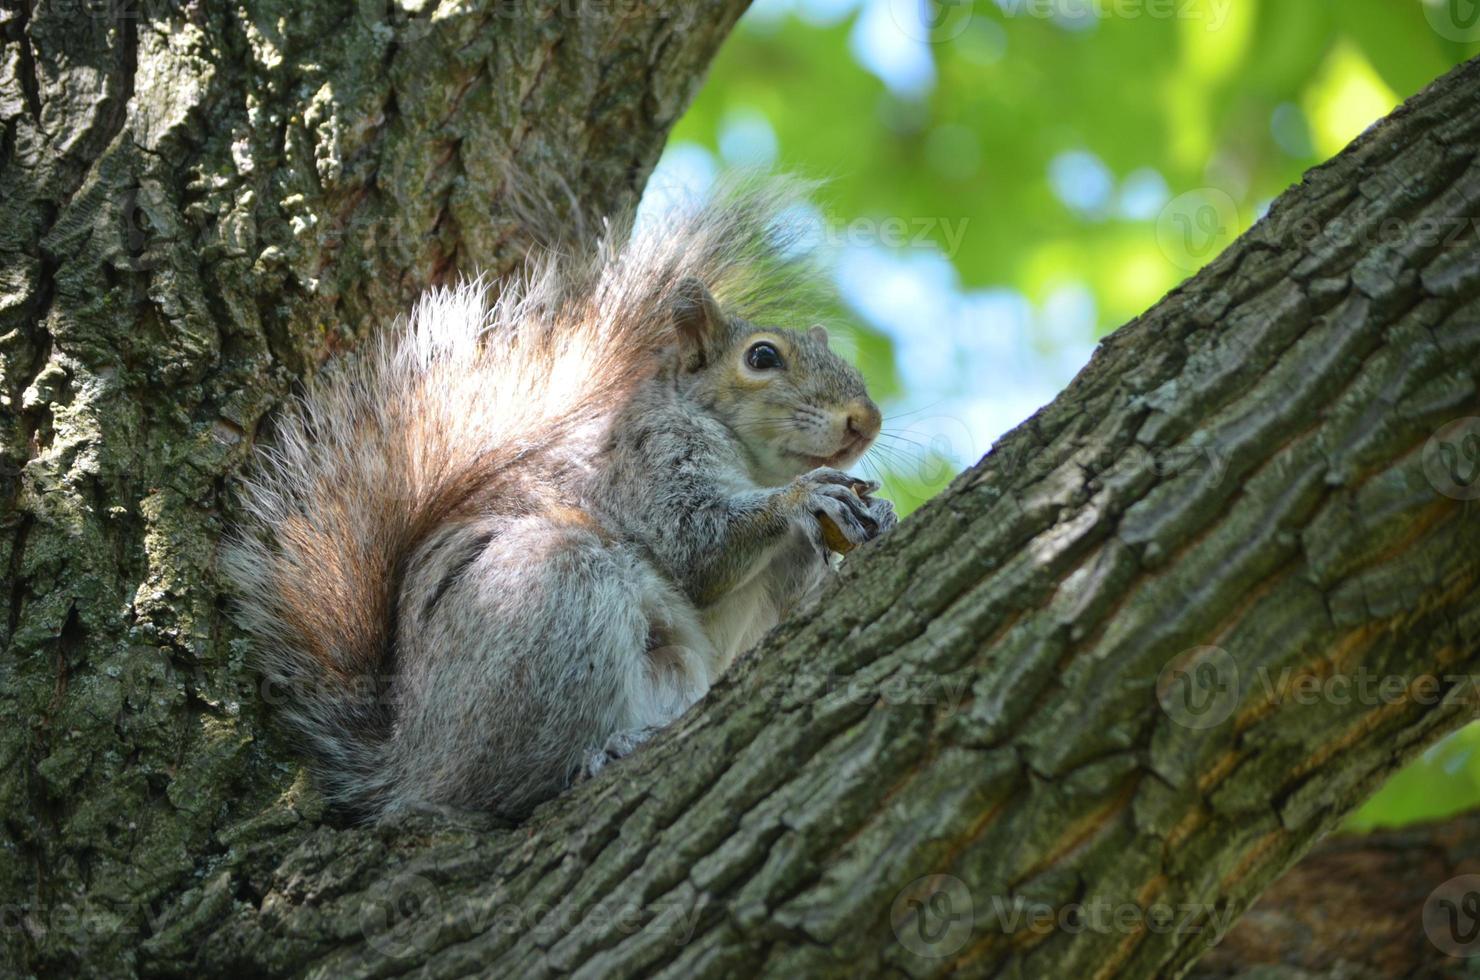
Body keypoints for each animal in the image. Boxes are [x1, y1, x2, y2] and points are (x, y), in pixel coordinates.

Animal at [223, 180, 893, 823]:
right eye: (762, 357)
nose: (866, 420)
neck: (755, 464)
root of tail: (407, 763)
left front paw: (872, 516)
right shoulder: (646, 461)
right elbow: (694, 547)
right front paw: (803, 497)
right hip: (553, 602)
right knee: (507, 785)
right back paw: (599, 753)